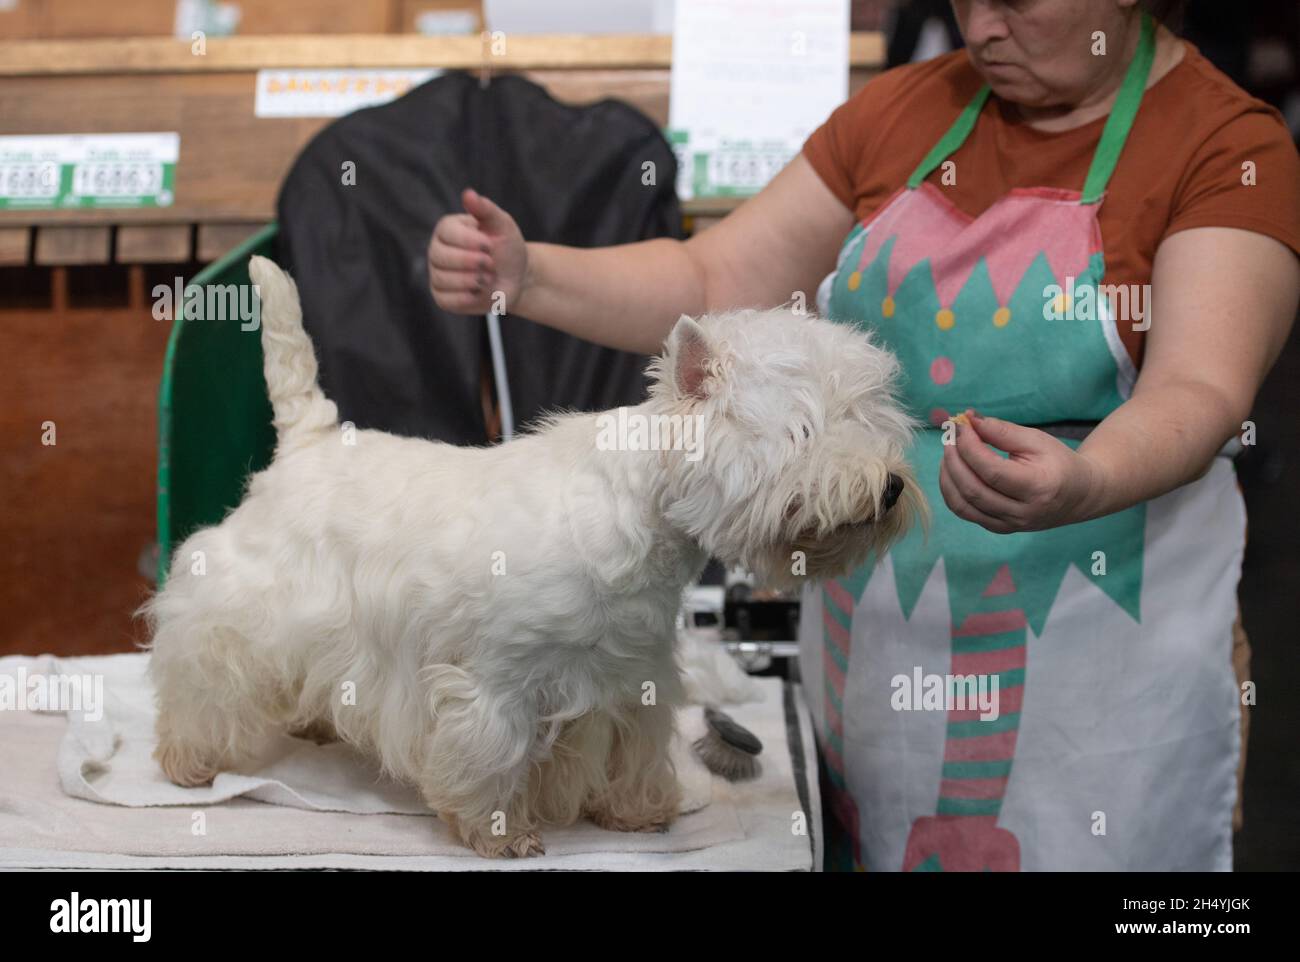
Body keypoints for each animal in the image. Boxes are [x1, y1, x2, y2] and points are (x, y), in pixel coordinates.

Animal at [144, 256, 925, 857]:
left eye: (868, 417)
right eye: (803, 431)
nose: (890, 487)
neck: (643, 520)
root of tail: (309, 441)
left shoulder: (632, 678)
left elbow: (635, 749)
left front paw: (638, 811)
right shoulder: (498, 687)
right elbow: (492, 757)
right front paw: (501, 833)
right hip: (239, 609)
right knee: (201, 674)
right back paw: (188, 761)